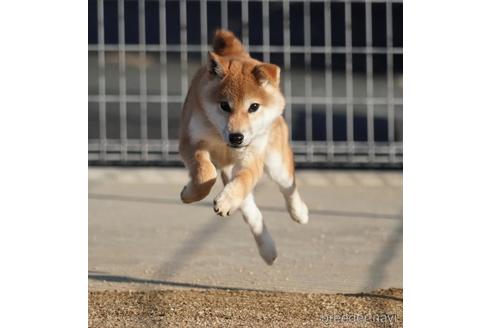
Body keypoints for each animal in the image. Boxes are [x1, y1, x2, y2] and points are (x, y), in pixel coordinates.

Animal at [180, 28, 308, 264]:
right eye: (224, 105)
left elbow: (244, 178)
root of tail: (238, 53)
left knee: (288, 186)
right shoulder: (191, 142)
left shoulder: (252, 157)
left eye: (254, 106)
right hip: (230, 173)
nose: (236, 137)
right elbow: (205, 173)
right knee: (252, 214)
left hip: (276, 163)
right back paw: (268, 250)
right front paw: (190, 194)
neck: (222, 140)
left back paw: (299, 213)